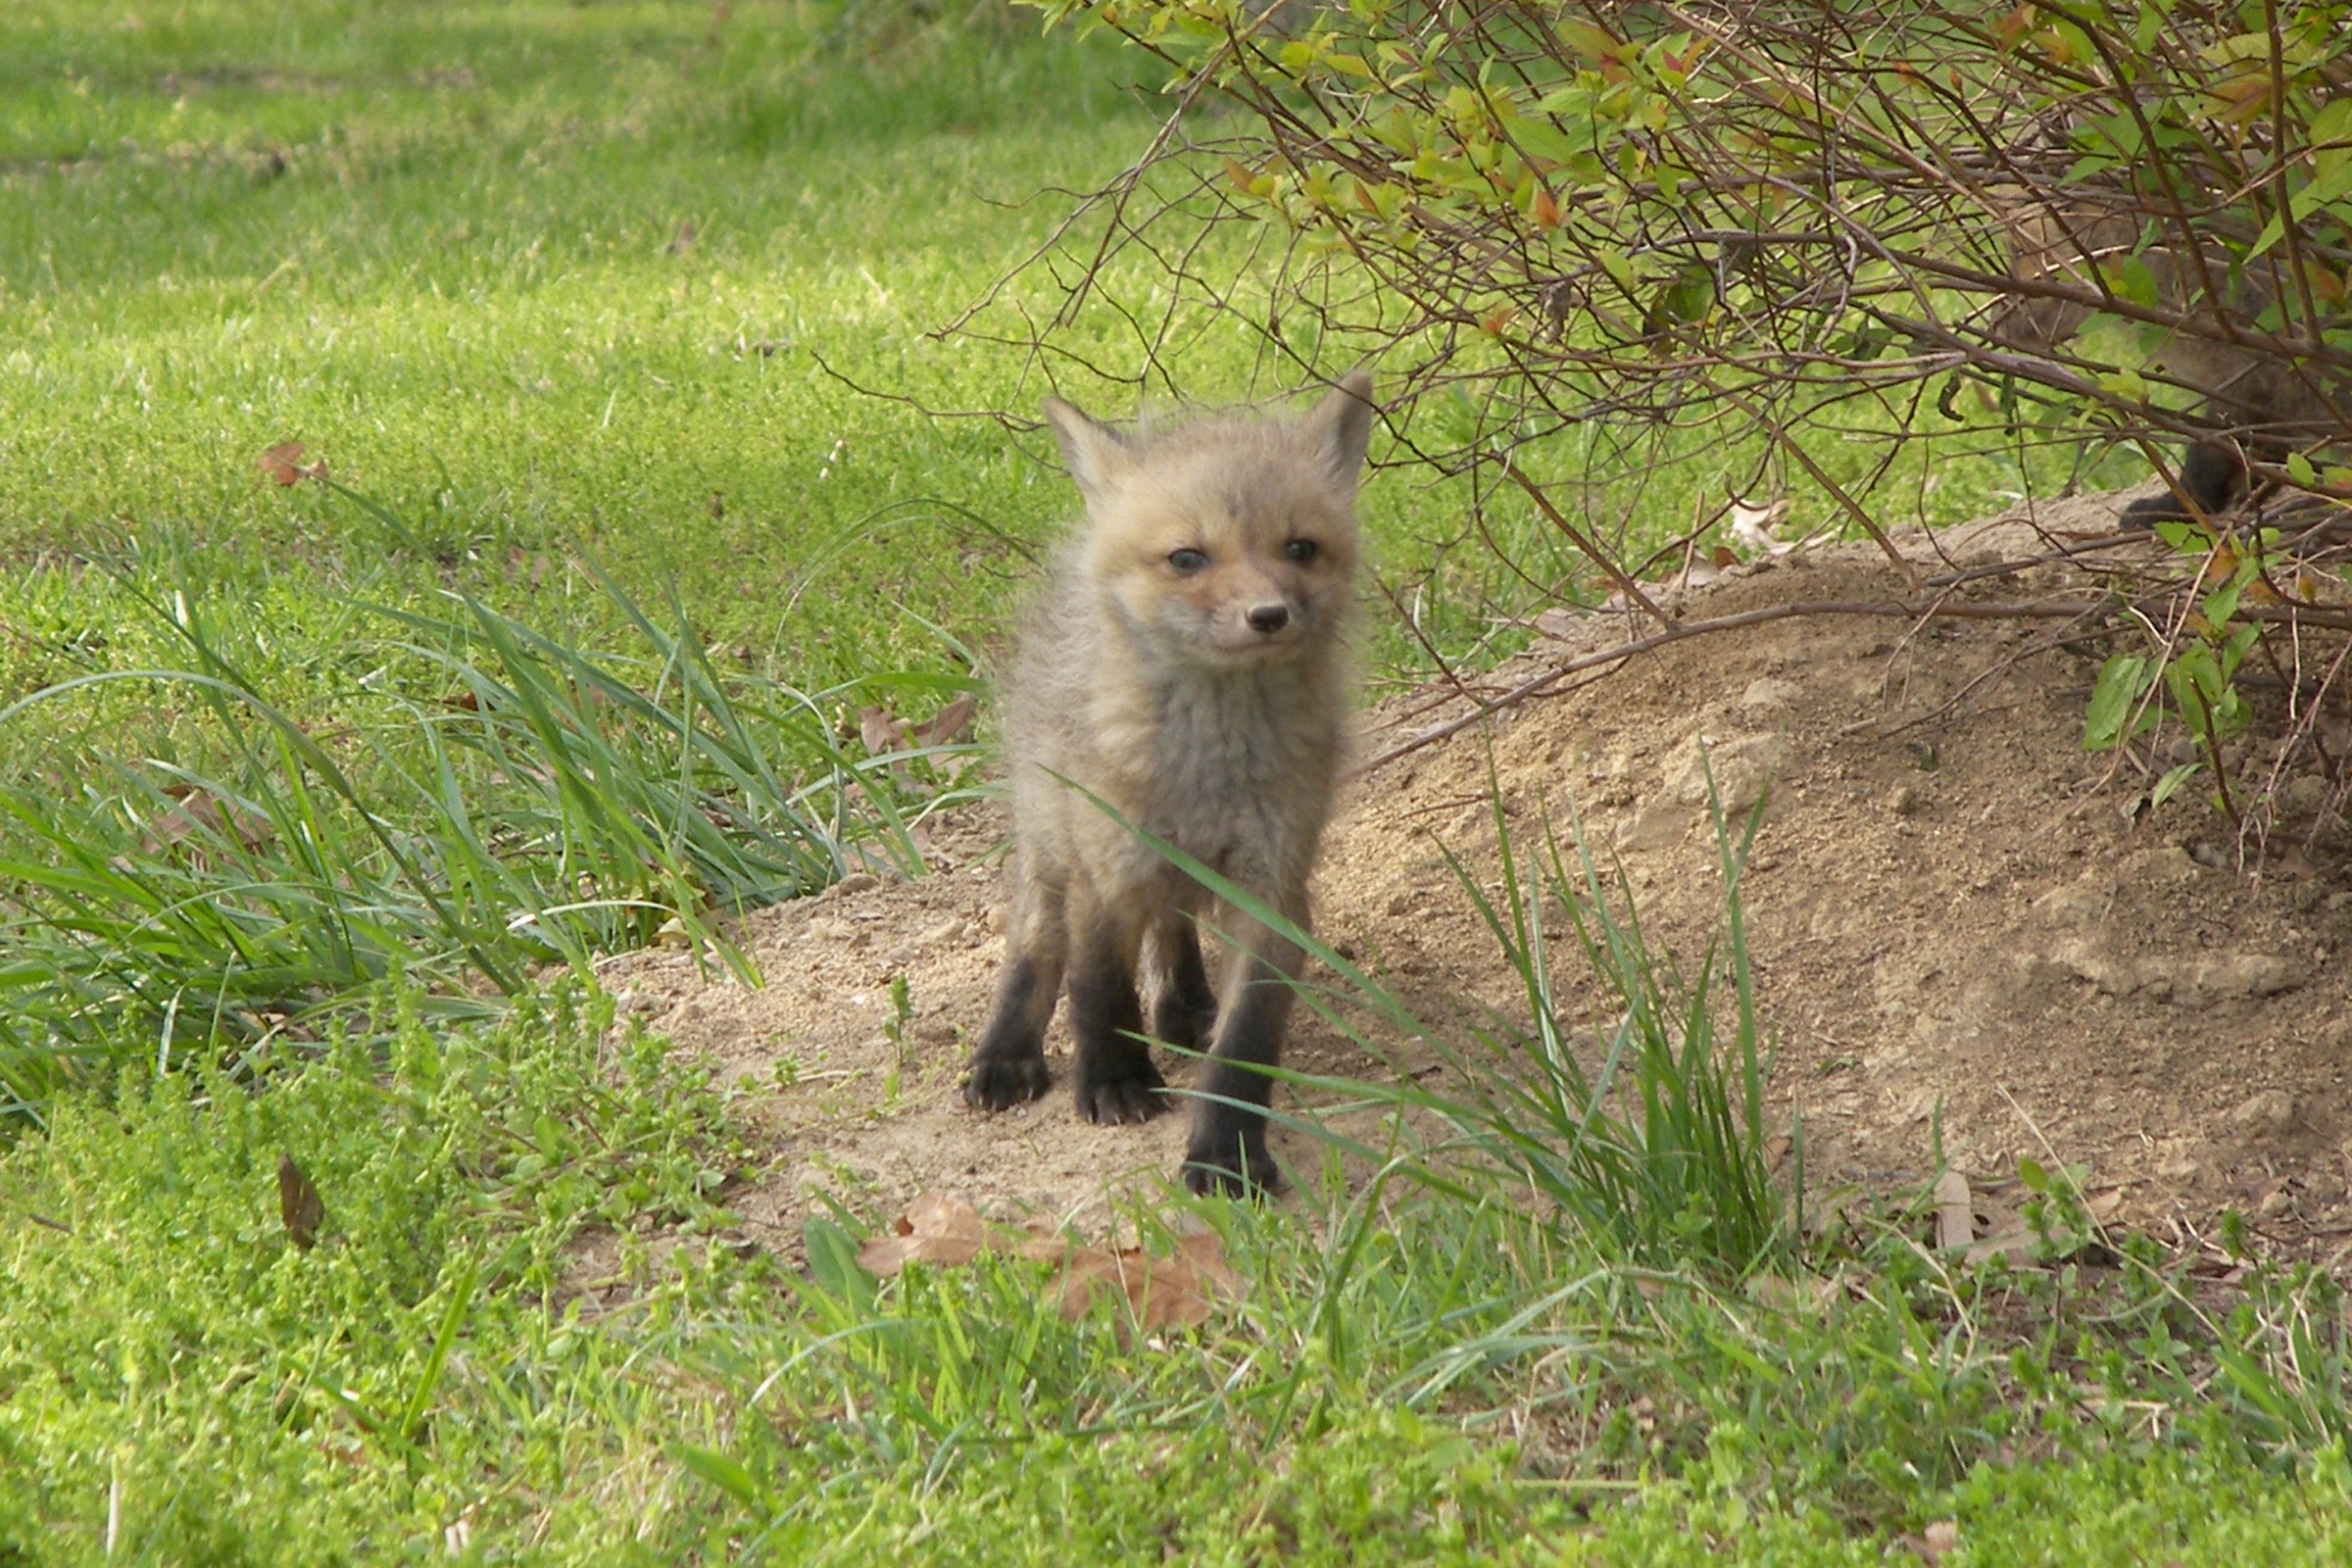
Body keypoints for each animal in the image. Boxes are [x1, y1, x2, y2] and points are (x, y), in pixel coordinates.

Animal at [955, 373, 1373, 1194]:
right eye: (1187, 558)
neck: (1208, 772)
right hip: (1050, 839)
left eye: (1300, 549)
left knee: (1172, 927)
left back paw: (1183, 1008)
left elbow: (1245, 1045)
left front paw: (1226, 1150)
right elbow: (1096, 989)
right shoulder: (1106, 869)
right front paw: (1116, 1079)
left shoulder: (1274, 890)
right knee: (1036, 940)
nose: (1269, 615)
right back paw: (1008, 1052)